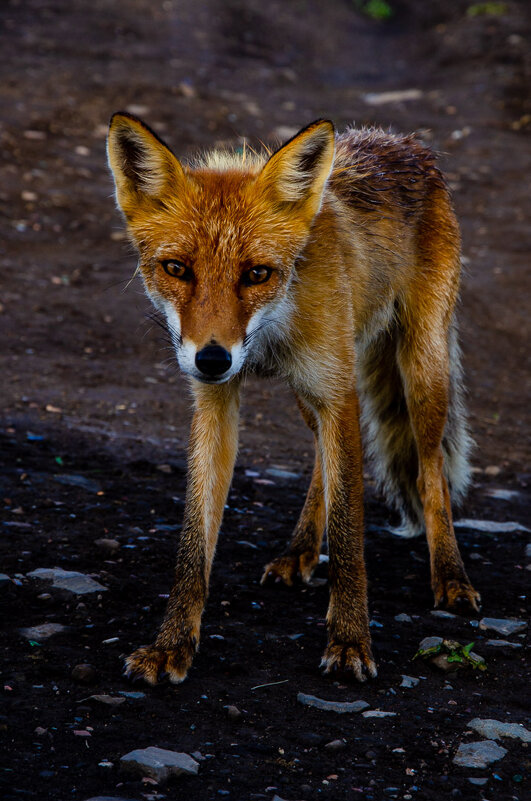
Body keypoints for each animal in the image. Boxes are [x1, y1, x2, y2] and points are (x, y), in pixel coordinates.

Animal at [106, 112, 480, 684]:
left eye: (257, 273)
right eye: (177, 269)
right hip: (313, 393)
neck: (274, 331)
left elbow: (350, 535)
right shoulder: (218, 404)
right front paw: (172, 646)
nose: (212, 360)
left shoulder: (337, 391)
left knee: (431, 469)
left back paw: (451, 575)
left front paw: (350, 642)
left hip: (421, 373)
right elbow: (194, 542)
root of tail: (401, 140)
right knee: (323, 461)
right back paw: (300, 549)